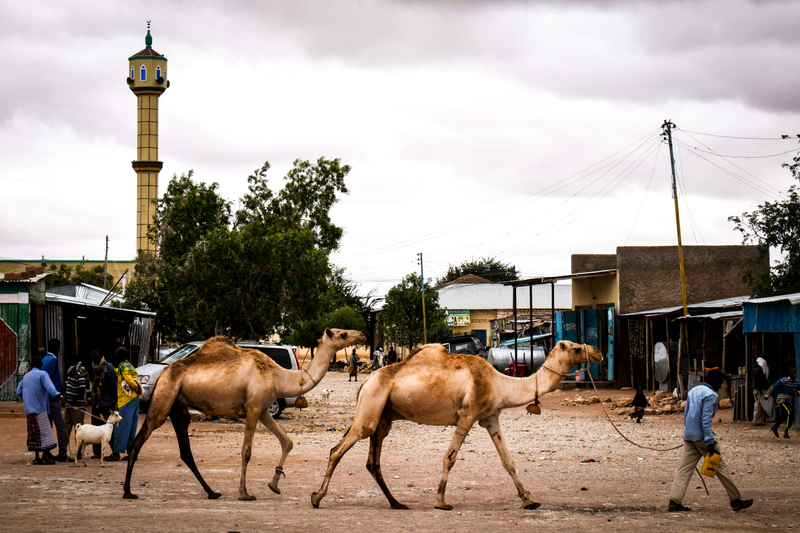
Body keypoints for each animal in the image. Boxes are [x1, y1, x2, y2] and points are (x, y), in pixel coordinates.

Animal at [122, 326, 366, 500]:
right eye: (343, 333)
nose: (362, 334)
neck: (279, 377)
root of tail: (163, 373)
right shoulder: (253, 407)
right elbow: (246, 451)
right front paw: (244, 493)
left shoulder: (264, 408)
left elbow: (287, 442)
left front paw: (274, 485)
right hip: (164, 399)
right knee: (139, 440)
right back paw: (128, 491)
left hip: (179, 408)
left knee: (185, 451)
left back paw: (212, 492)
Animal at [310, 338, 604, 510]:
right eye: (577, 348)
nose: (599, 352)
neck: (500, 383)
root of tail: (365, 382)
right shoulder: (467, 415)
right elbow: (449, 457)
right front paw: (441, 501)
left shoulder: (490, 418)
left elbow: (508, 460)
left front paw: (529, 500)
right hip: (371, 407)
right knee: (337, 450)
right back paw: (316, 498)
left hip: (383, 416)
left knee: (373, 460)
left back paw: (397, 503)